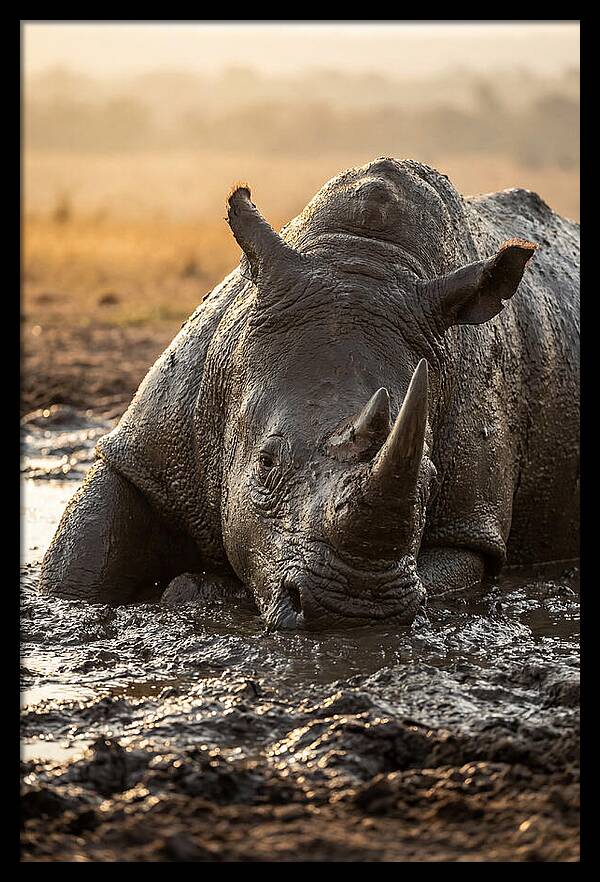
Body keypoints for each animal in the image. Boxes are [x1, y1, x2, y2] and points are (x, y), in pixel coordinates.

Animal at [39, 158, 580, 630]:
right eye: (265, 462)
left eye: (429, 478)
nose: (354, 609)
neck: (362, 260)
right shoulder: (146, 447)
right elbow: (81, 561)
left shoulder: (471, 525)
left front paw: (197, 591)